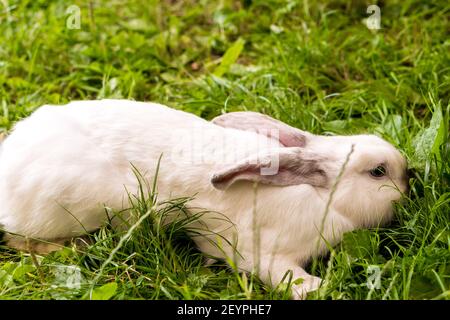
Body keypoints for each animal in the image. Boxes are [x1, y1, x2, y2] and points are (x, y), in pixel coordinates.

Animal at [0, 99, 408, 298]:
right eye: (378, 172)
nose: (409, 179)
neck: (326, 199)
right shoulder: (265, 255)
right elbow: (286, 277)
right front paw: (319, 289)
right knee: (23, 242)